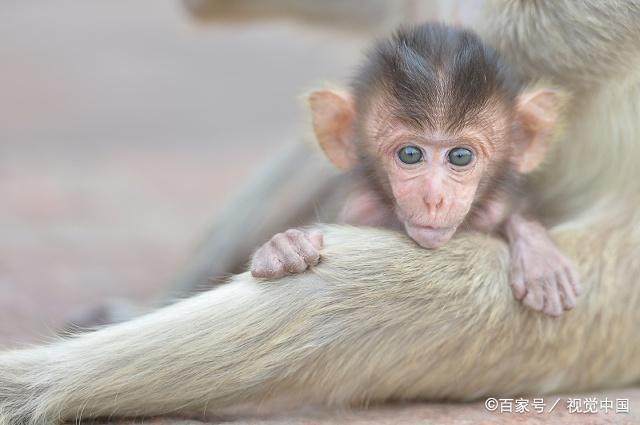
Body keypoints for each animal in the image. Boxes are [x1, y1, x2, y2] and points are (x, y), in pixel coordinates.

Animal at [250, 22, 580, 314]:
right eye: (410, 154)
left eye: (460, 156)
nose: (434, 198)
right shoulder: (358, 208)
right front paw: (283, 247)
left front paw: (540, 257)